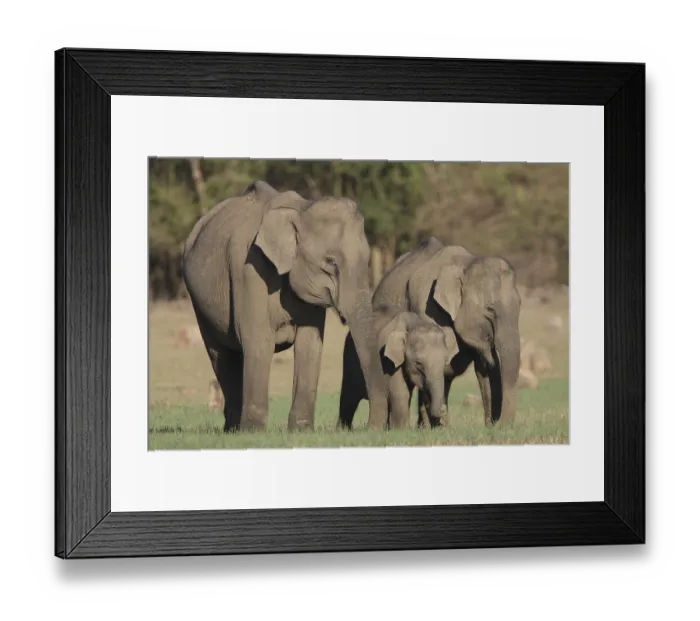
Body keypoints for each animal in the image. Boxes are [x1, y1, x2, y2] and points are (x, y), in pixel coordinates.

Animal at [182, 180, 389, 433]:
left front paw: (301, 430)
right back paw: (234, 429)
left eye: (367, 260)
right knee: (220, 353)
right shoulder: (249, 269)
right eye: (330, 262)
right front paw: (253, 431)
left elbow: (310, 343)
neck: (301, 209)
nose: (368, 427)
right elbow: (259, 340)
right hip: (198, 300)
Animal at [372, 236, 522, 426]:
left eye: (520, 305)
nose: (501, 425)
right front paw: (438, 425)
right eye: (490, 309)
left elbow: (481, 368)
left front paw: (489, 427)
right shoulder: (428, 308)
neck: (465, 264)